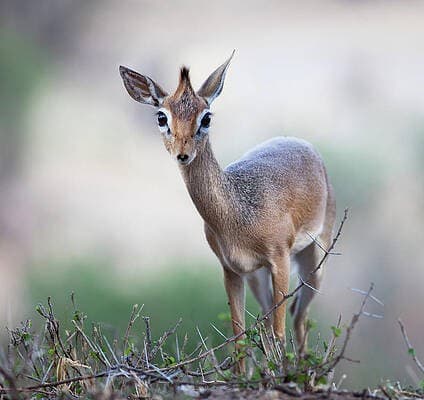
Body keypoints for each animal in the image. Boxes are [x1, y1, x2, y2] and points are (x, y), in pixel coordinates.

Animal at [119, 52, 336, 372]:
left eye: (206, 117)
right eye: (162, 116)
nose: (183, 153)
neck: (238, 213)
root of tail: (305, 146)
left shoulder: (280, 260)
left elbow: (279, 332)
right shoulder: (231, 269)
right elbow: (239, 338)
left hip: (314, 260)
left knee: (297, 317)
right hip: (258, 276)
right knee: (276, 319)